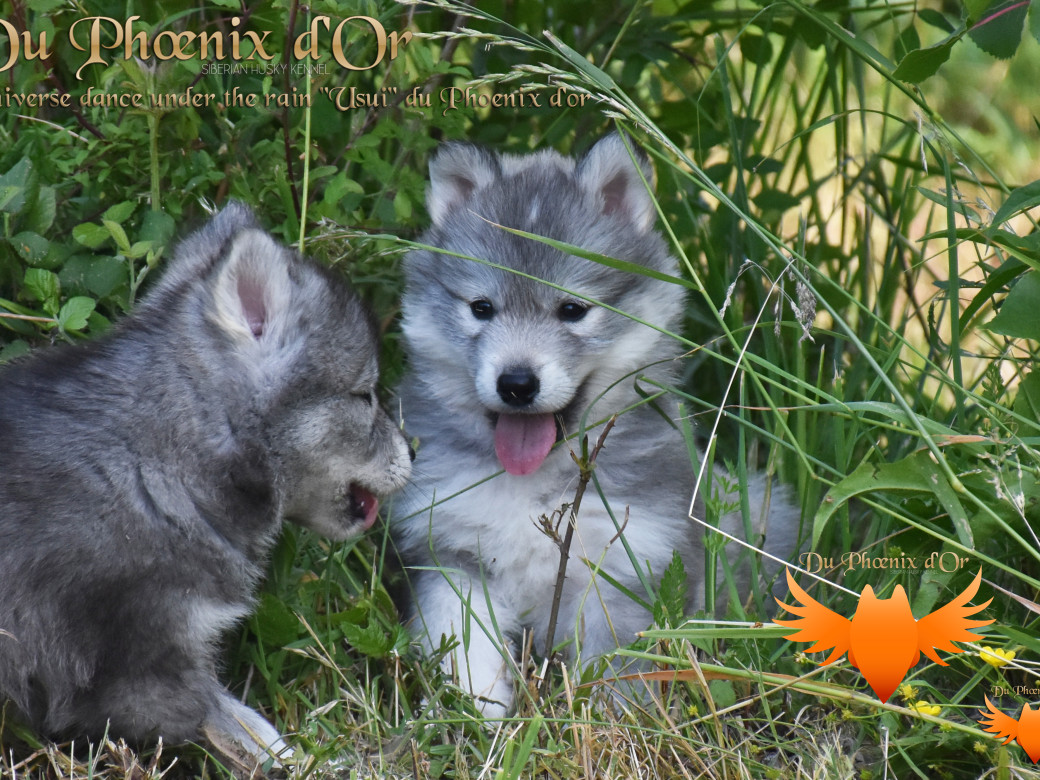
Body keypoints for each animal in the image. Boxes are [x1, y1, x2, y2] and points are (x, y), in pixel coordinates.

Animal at [391, 133, 794, 715]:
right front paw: (476, 717)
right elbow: (466, 650)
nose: (517, 383)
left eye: (572, 310)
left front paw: (608, 723)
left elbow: (612, 675)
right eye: (481, 308)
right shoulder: (451, 558)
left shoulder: (623, 567)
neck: (535, 485)